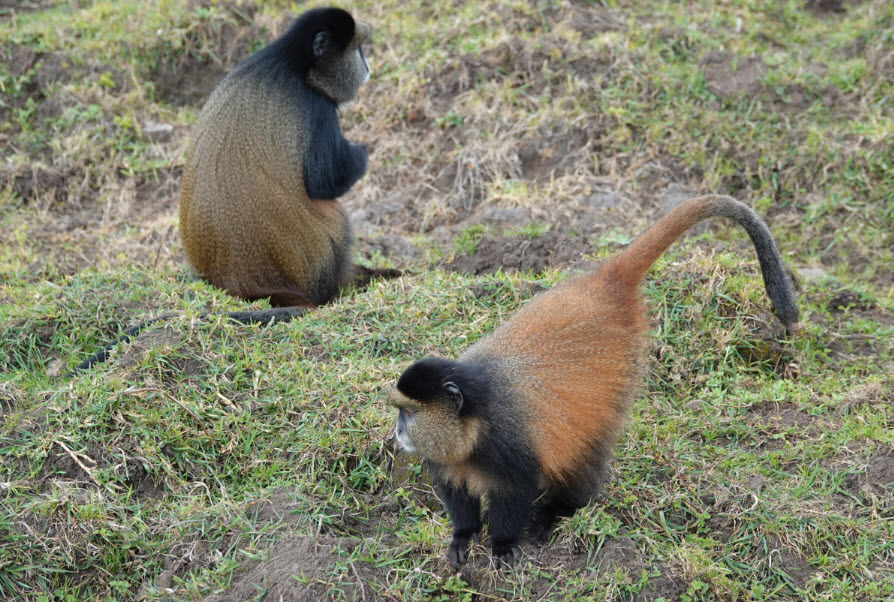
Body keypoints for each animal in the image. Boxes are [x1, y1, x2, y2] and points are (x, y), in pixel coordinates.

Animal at [179, 7, 372, 308]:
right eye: (357, 49)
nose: (367, 67)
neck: (293, 62)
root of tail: (240, 284)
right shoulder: (318, 107)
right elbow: (325, 180)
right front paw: (361, 152)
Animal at [387, 194, 798, 568]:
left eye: (408, 413)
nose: (398, 432)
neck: (474, 421)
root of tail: (605, 285)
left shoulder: (510, 445)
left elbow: (515, 496)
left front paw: (503, 544)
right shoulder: (446, 461)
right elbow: (458, 498)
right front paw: (463, 535)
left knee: (585, 454)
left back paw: (559, 510)